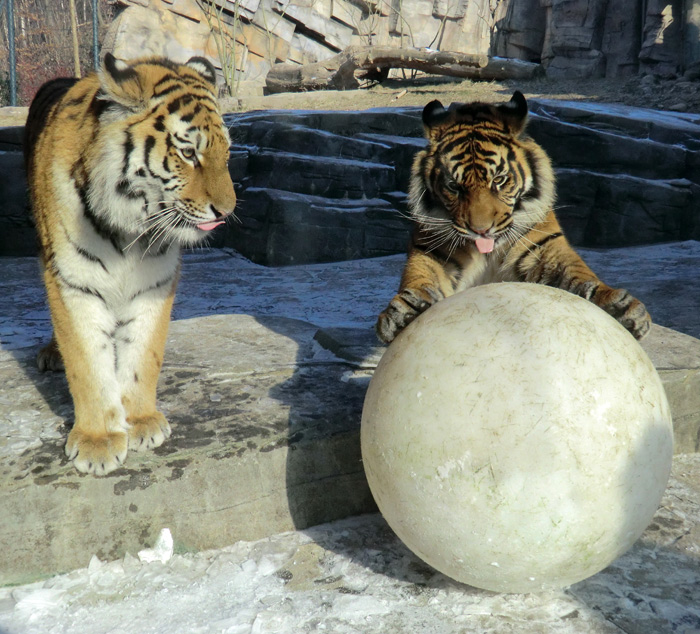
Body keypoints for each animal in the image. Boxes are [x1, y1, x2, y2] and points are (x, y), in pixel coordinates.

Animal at [24, 54, 238, 472]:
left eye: (227, 153)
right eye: (189, 153)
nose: (226, 212)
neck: (130, 230)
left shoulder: (155, 282)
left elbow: (143, 352)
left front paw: (140, 421)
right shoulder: (73, 282)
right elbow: (87, 363)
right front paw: (97, 441)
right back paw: (52, 354)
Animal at [378, 91, 652, 344]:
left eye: (499, 180)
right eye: (454, 186)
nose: (480, 230)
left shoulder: (544, 248)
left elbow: (579, 273)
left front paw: (618, 305)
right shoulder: (429, 248)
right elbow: (420, 275)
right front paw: (406, 310)